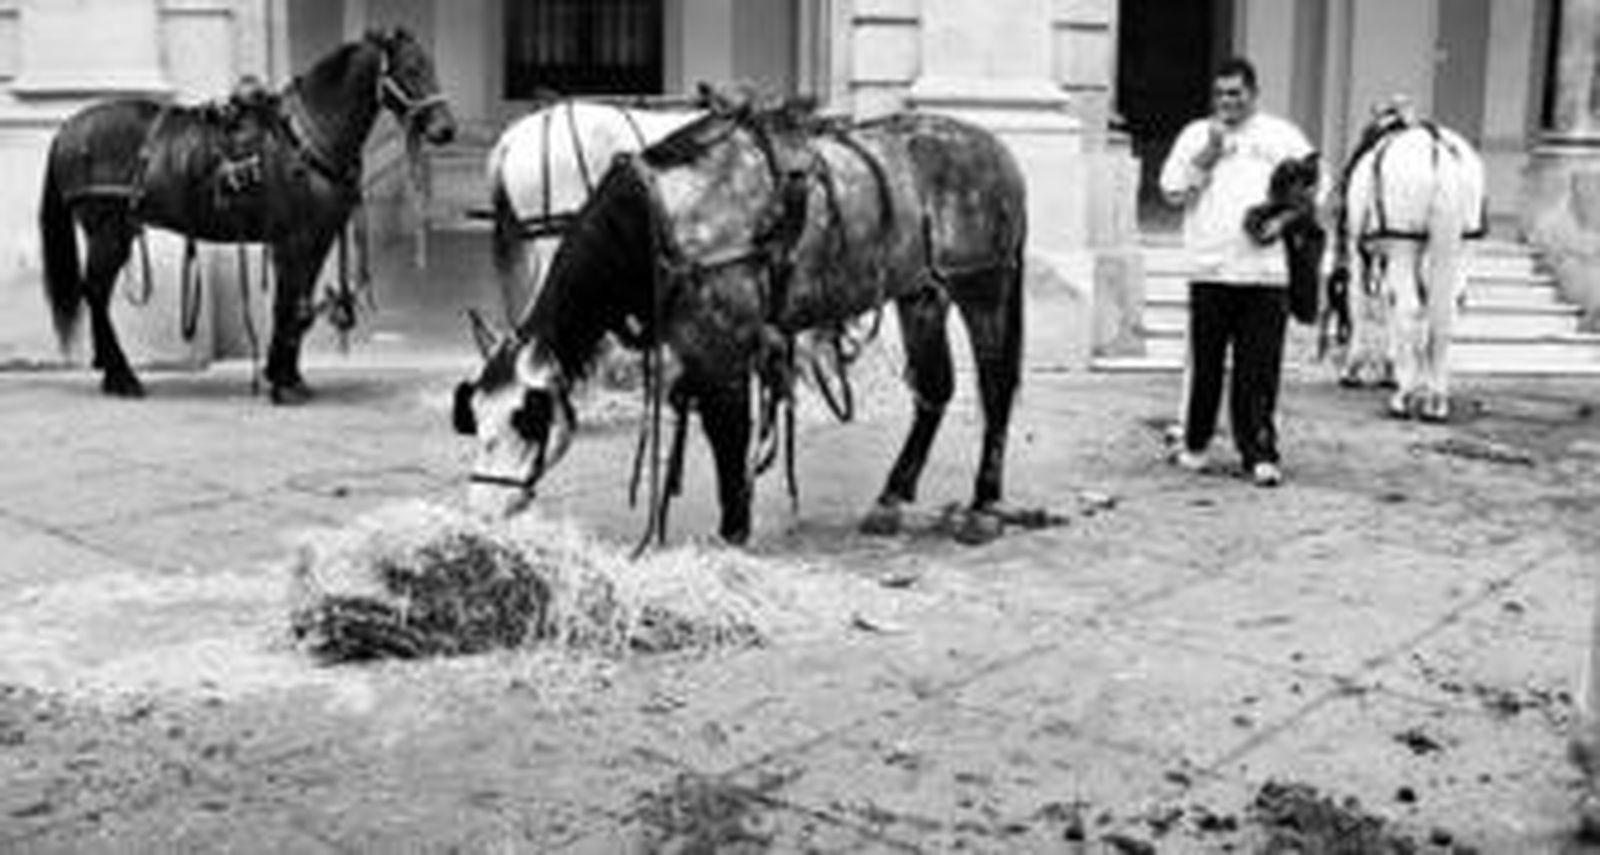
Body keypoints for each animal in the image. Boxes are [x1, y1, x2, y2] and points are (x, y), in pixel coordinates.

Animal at [39, 28, 456, 404]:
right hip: (107, 233)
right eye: (411, 68)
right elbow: (289, 306)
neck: (305, 140)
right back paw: (122, 377)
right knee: (95, 293)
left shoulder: (317, 241)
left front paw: (287, 375)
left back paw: (110, 372)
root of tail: (67, 128)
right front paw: (283, 384)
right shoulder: (294, 241)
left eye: (430, 65)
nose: (446, 129)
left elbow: (298, 306)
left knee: (96, 295)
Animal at [1327, 103, 1486, 421]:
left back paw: (1404, 398)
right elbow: (1392, 306)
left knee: (1408, 306)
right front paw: (1393, 370)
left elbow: (1360, 303)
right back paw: (1434, 398)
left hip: (1404, 244)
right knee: (1445, 310)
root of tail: (1438, 148)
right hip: (1461, 247)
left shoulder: (1359, 250)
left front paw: (1353, 368)